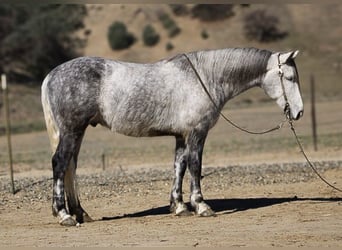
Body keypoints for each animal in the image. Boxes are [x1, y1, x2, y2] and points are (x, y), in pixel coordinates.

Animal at [41, 47, 304, 226]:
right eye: (290, 78)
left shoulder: (181, 135)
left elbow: (179, 166)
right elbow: (195, 167)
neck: (205, 77)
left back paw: (80, 213)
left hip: (77, 132)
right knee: (60, 163)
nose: (299, 112)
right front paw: (201, 206)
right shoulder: (197, 133)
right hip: (72, 130)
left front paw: (179, 206)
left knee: (70, 167)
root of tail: (51, 75)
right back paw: (64, 215)